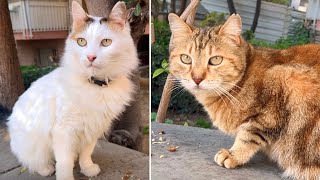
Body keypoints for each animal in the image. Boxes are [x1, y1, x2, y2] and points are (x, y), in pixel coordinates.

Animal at [6, 0, 139, 179]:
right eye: (81, 42)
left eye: (106, 42)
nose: (90, 57)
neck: (95, 86)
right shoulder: (64, 131)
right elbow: (64, 162)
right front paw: (65, 176)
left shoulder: (93, 129)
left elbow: (86, 154)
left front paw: (88, 169)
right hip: (34, 145)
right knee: (34, 162)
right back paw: (46, 169)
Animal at [168, 13, 320, 179]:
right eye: (186, 58)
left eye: (215, 60)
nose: (197, 78)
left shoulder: (277, 102)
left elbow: (248, 134)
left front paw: (234, 154)